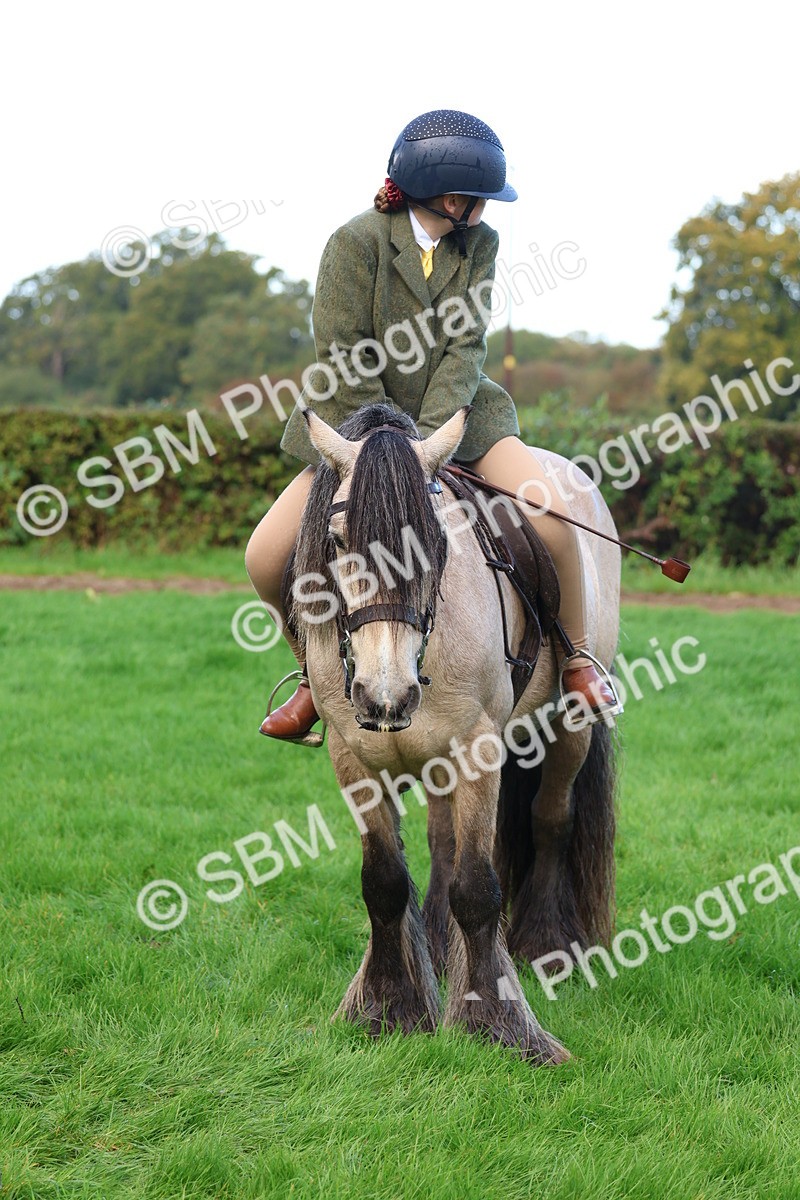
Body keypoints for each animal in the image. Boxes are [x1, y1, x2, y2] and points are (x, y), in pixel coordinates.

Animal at [289, 402, 620, 1065]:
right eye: (336, 542)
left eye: (433, 544)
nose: (385, 695)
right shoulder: (352, 756)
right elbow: (384, 882)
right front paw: (389, 1006)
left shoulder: (477, 748)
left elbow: (477, 886)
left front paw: (496, 1022)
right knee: (443, 840)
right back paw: (443, 954)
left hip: (568, 723)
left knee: (552, 819)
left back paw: (546, 946)